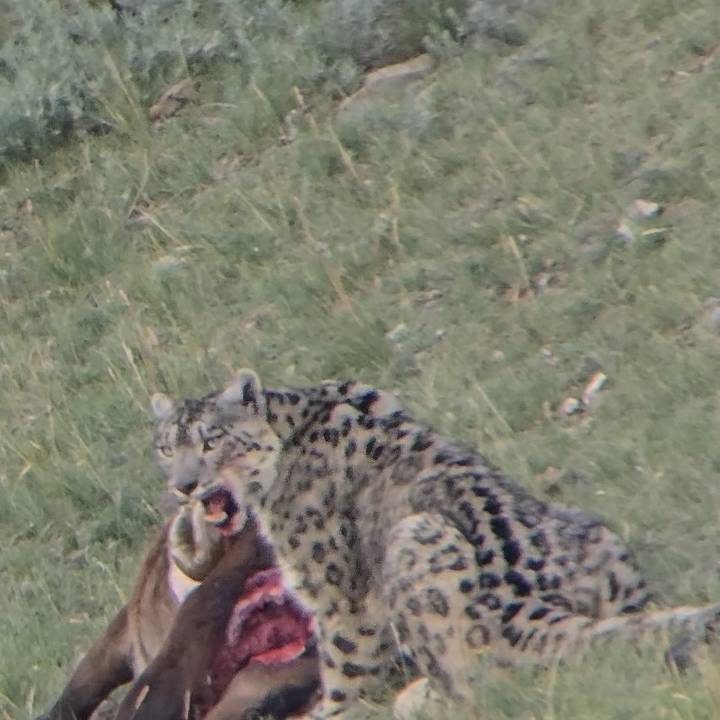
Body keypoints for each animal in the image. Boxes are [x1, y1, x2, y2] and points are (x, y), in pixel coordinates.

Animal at [150, 369, 720, 719]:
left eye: (211, 440)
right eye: (165, 448)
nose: (183, 485)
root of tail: (523, 606)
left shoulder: (336, 595)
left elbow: (346, 663)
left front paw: (332, 711)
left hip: (415, 544)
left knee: (474, 685)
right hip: (597, 537)